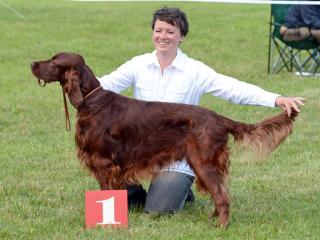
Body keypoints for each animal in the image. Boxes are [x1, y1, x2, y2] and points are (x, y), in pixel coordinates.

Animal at [31, 52, 296, 227]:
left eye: (54, 61)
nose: (32, 63)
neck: (93, 102)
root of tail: (220, 118)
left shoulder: (104, 162)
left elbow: (106, 192)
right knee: (219, 193)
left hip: (204, 162)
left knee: (223, 196)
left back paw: (221, 226)